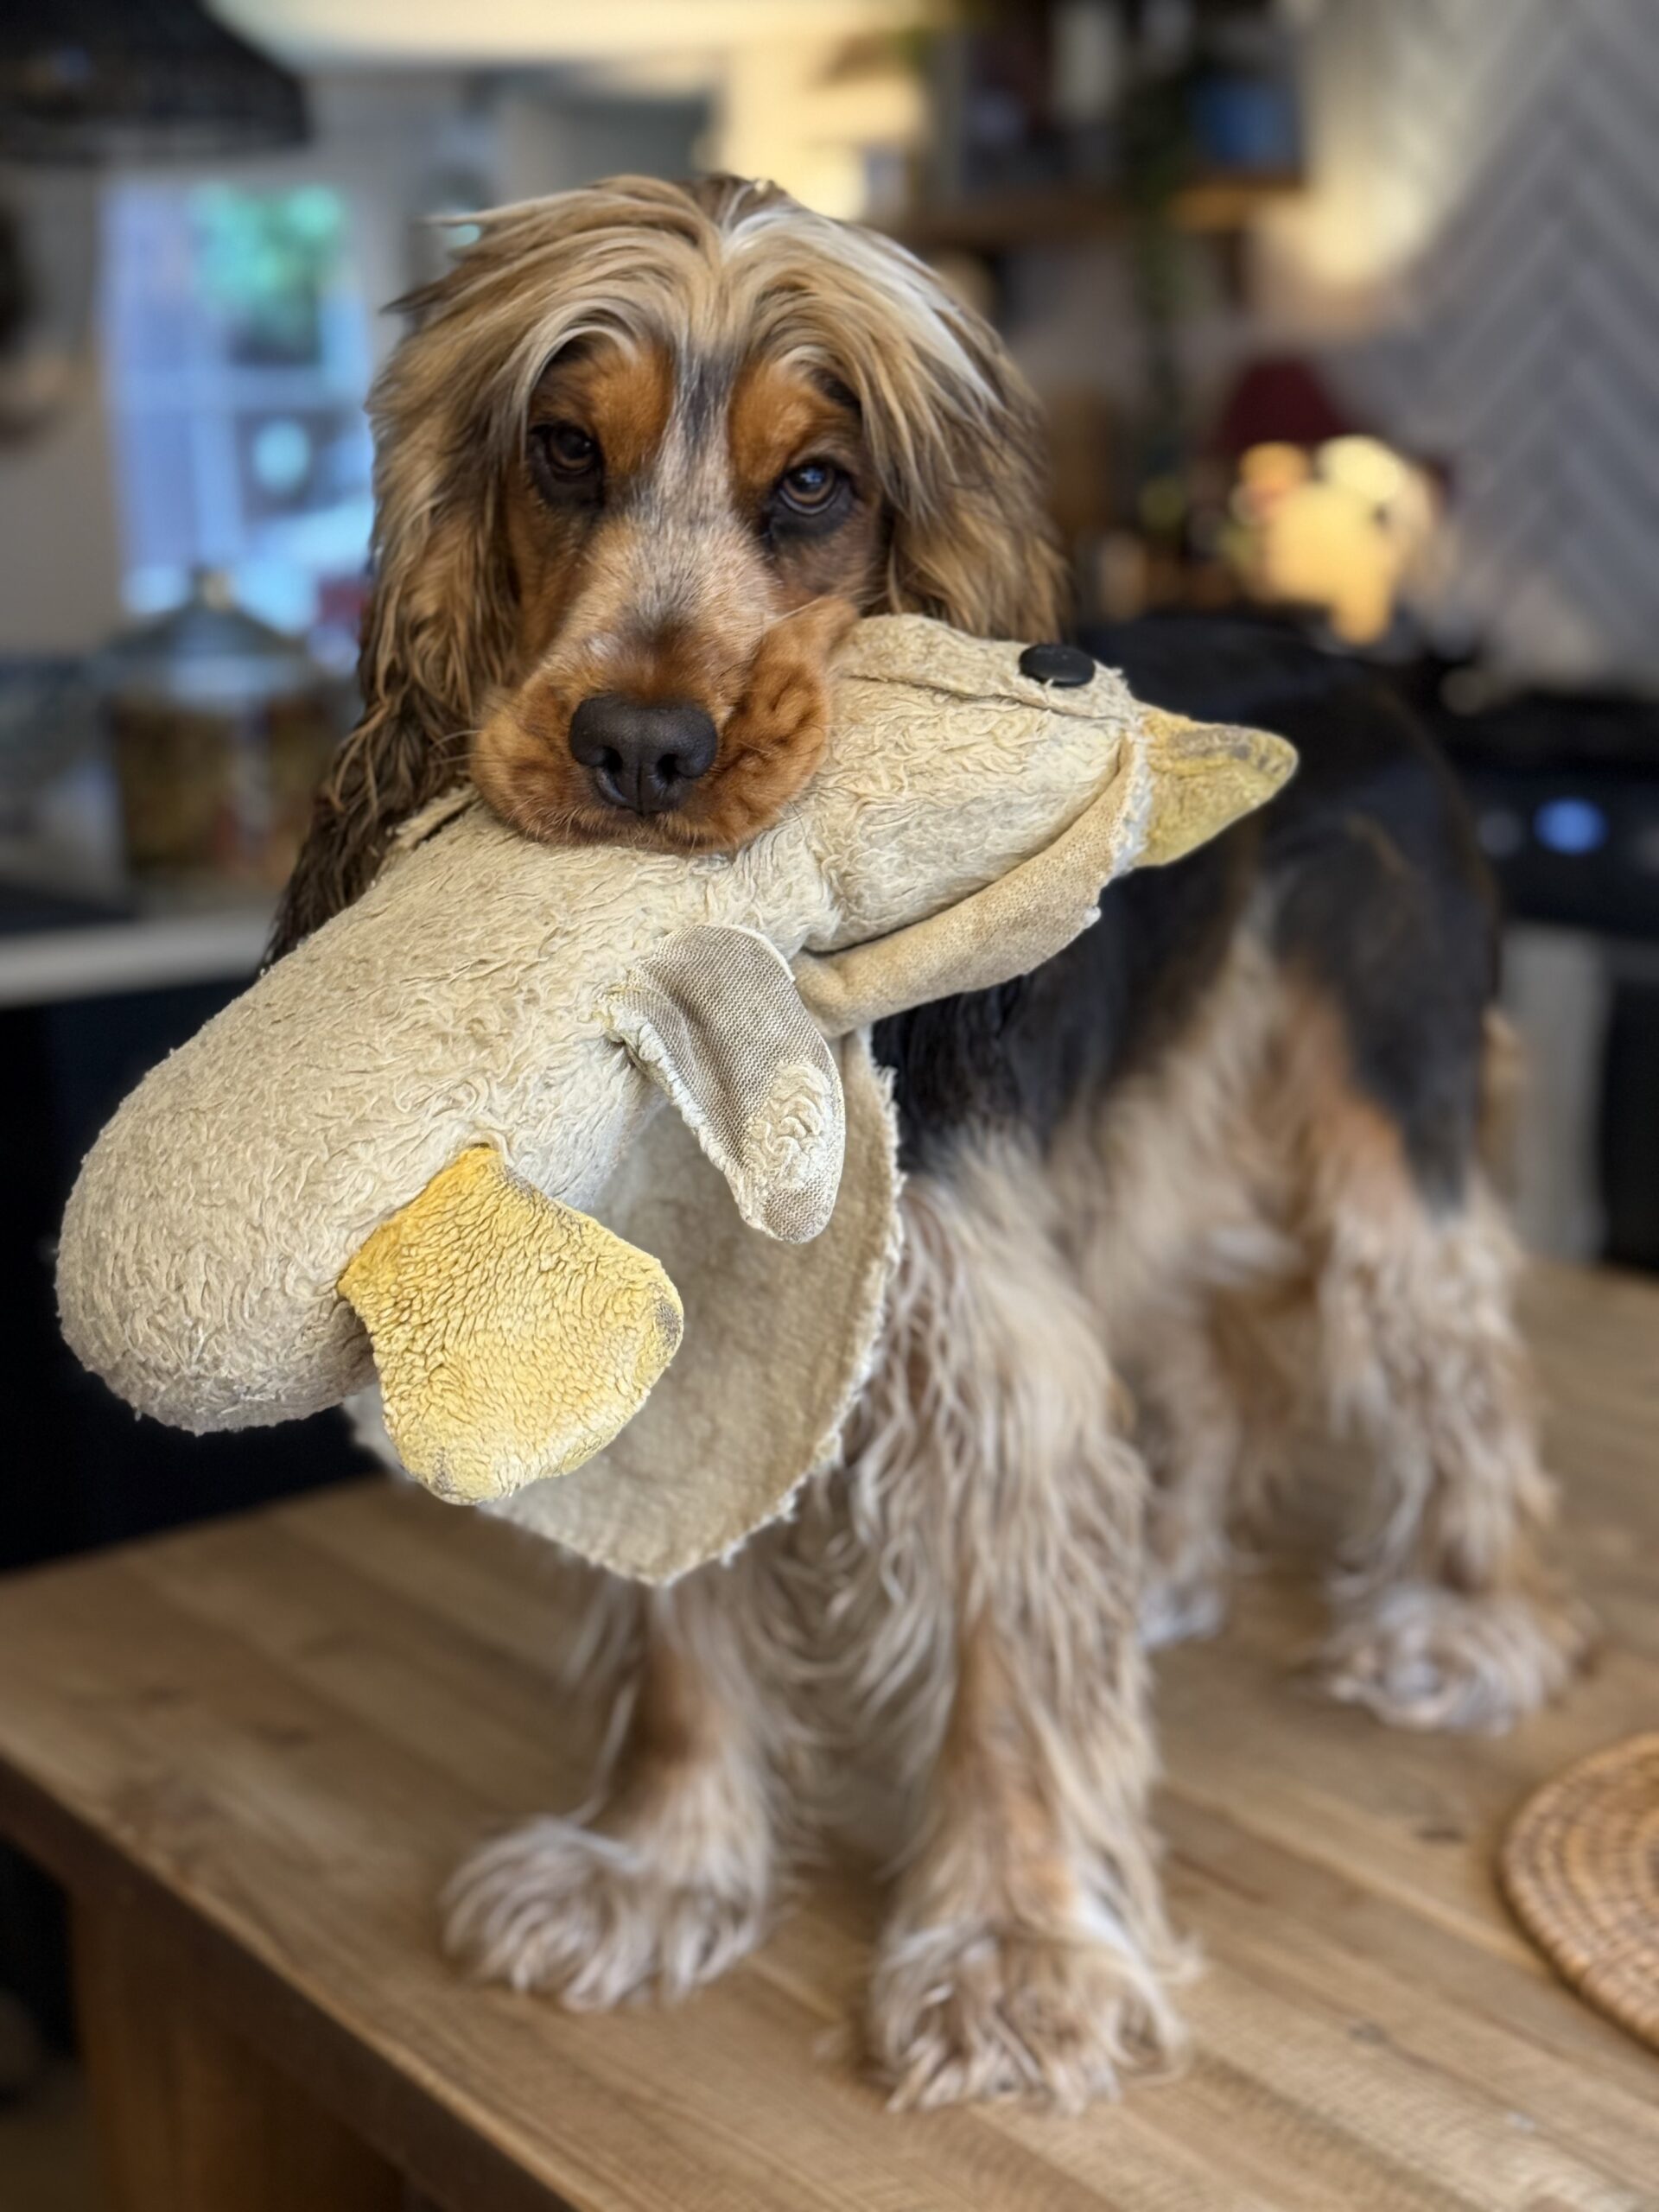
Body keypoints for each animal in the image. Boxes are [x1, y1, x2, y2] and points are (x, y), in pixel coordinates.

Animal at [273, 174, 1587, 2111]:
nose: (639, 750)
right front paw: (659, 1864)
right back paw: (1178, 1561)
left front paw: (1021, 1951)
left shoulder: (981, 1322)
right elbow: (685, 1623)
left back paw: (1471, 1618)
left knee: (1457, 1349)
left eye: (817, 484)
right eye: (565, 454)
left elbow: (1006, 1650)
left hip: (1376, 1106)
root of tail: (1352, 664)